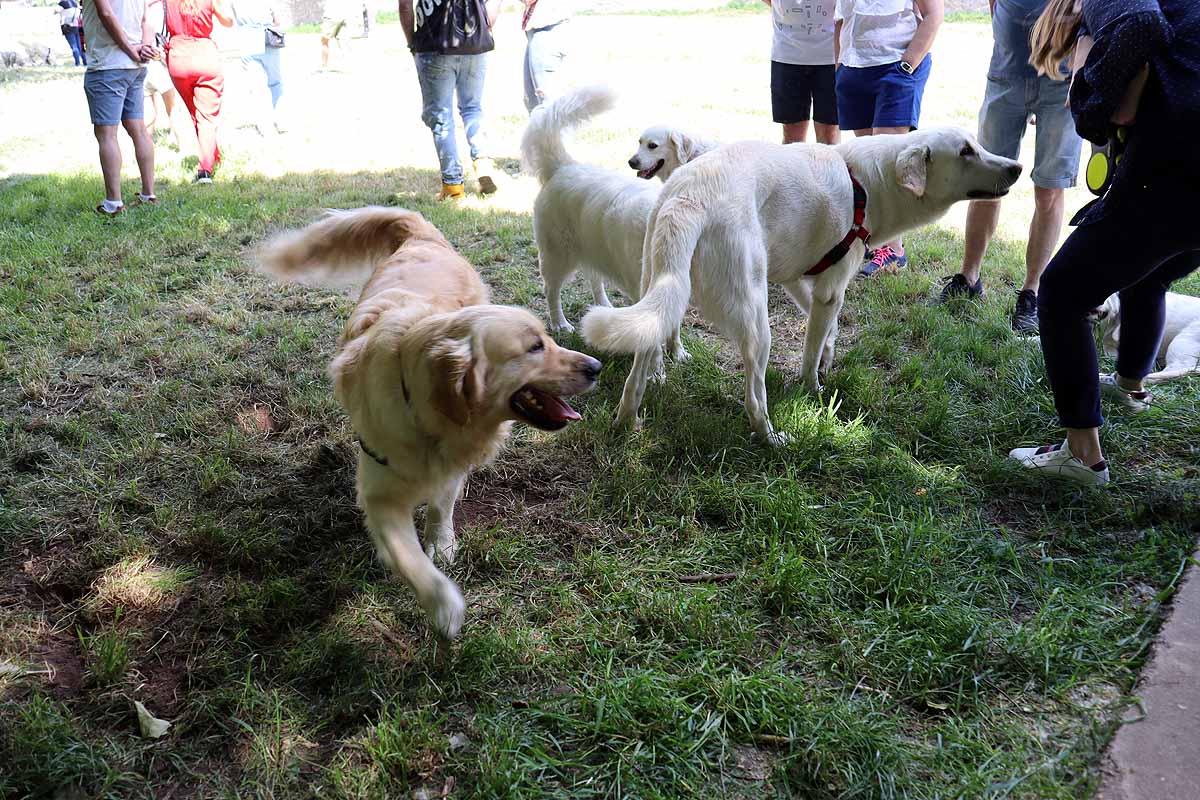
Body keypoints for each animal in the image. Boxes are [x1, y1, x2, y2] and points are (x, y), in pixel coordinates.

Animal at [520, 86, 715, 340]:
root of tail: (563, 166)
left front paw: (677, 349)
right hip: (557, 255)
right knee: (551, 289)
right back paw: (560, 324)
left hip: (592, 246)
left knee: (594, 278)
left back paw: (602, 306)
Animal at [580, 128, 1022, 448]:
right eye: (966, 151)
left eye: (976, 145)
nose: (1018, 167)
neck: (868, 183)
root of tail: (689, 198)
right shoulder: (831, 289)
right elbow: (811, 352)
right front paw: (814, 387)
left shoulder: (798, 279)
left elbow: (828, 330)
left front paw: (828, 355)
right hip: (757, 325)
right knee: (754, 396)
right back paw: (771, 438)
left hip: (658, 297)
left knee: (637, 372)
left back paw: (626, 423)